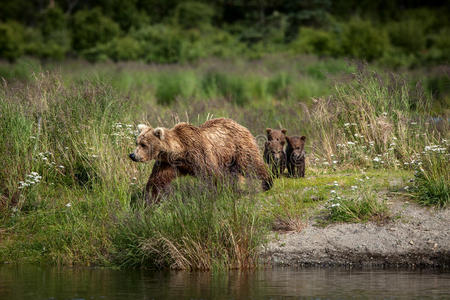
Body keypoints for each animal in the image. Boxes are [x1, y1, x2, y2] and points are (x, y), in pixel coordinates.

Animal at [128, 118, 272, 203]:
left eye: (144, 144)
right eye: (137, 142)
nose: (132, 155)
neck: (179, 152)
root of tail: (239, 124)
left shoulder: (198, 154)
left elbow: (211, 175)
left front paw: (218, 193)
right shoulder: (169, 163)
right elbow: (157, 180)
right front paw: (148, 199)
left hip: (238, 147)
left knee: (251, 163)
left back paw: (267, 183)